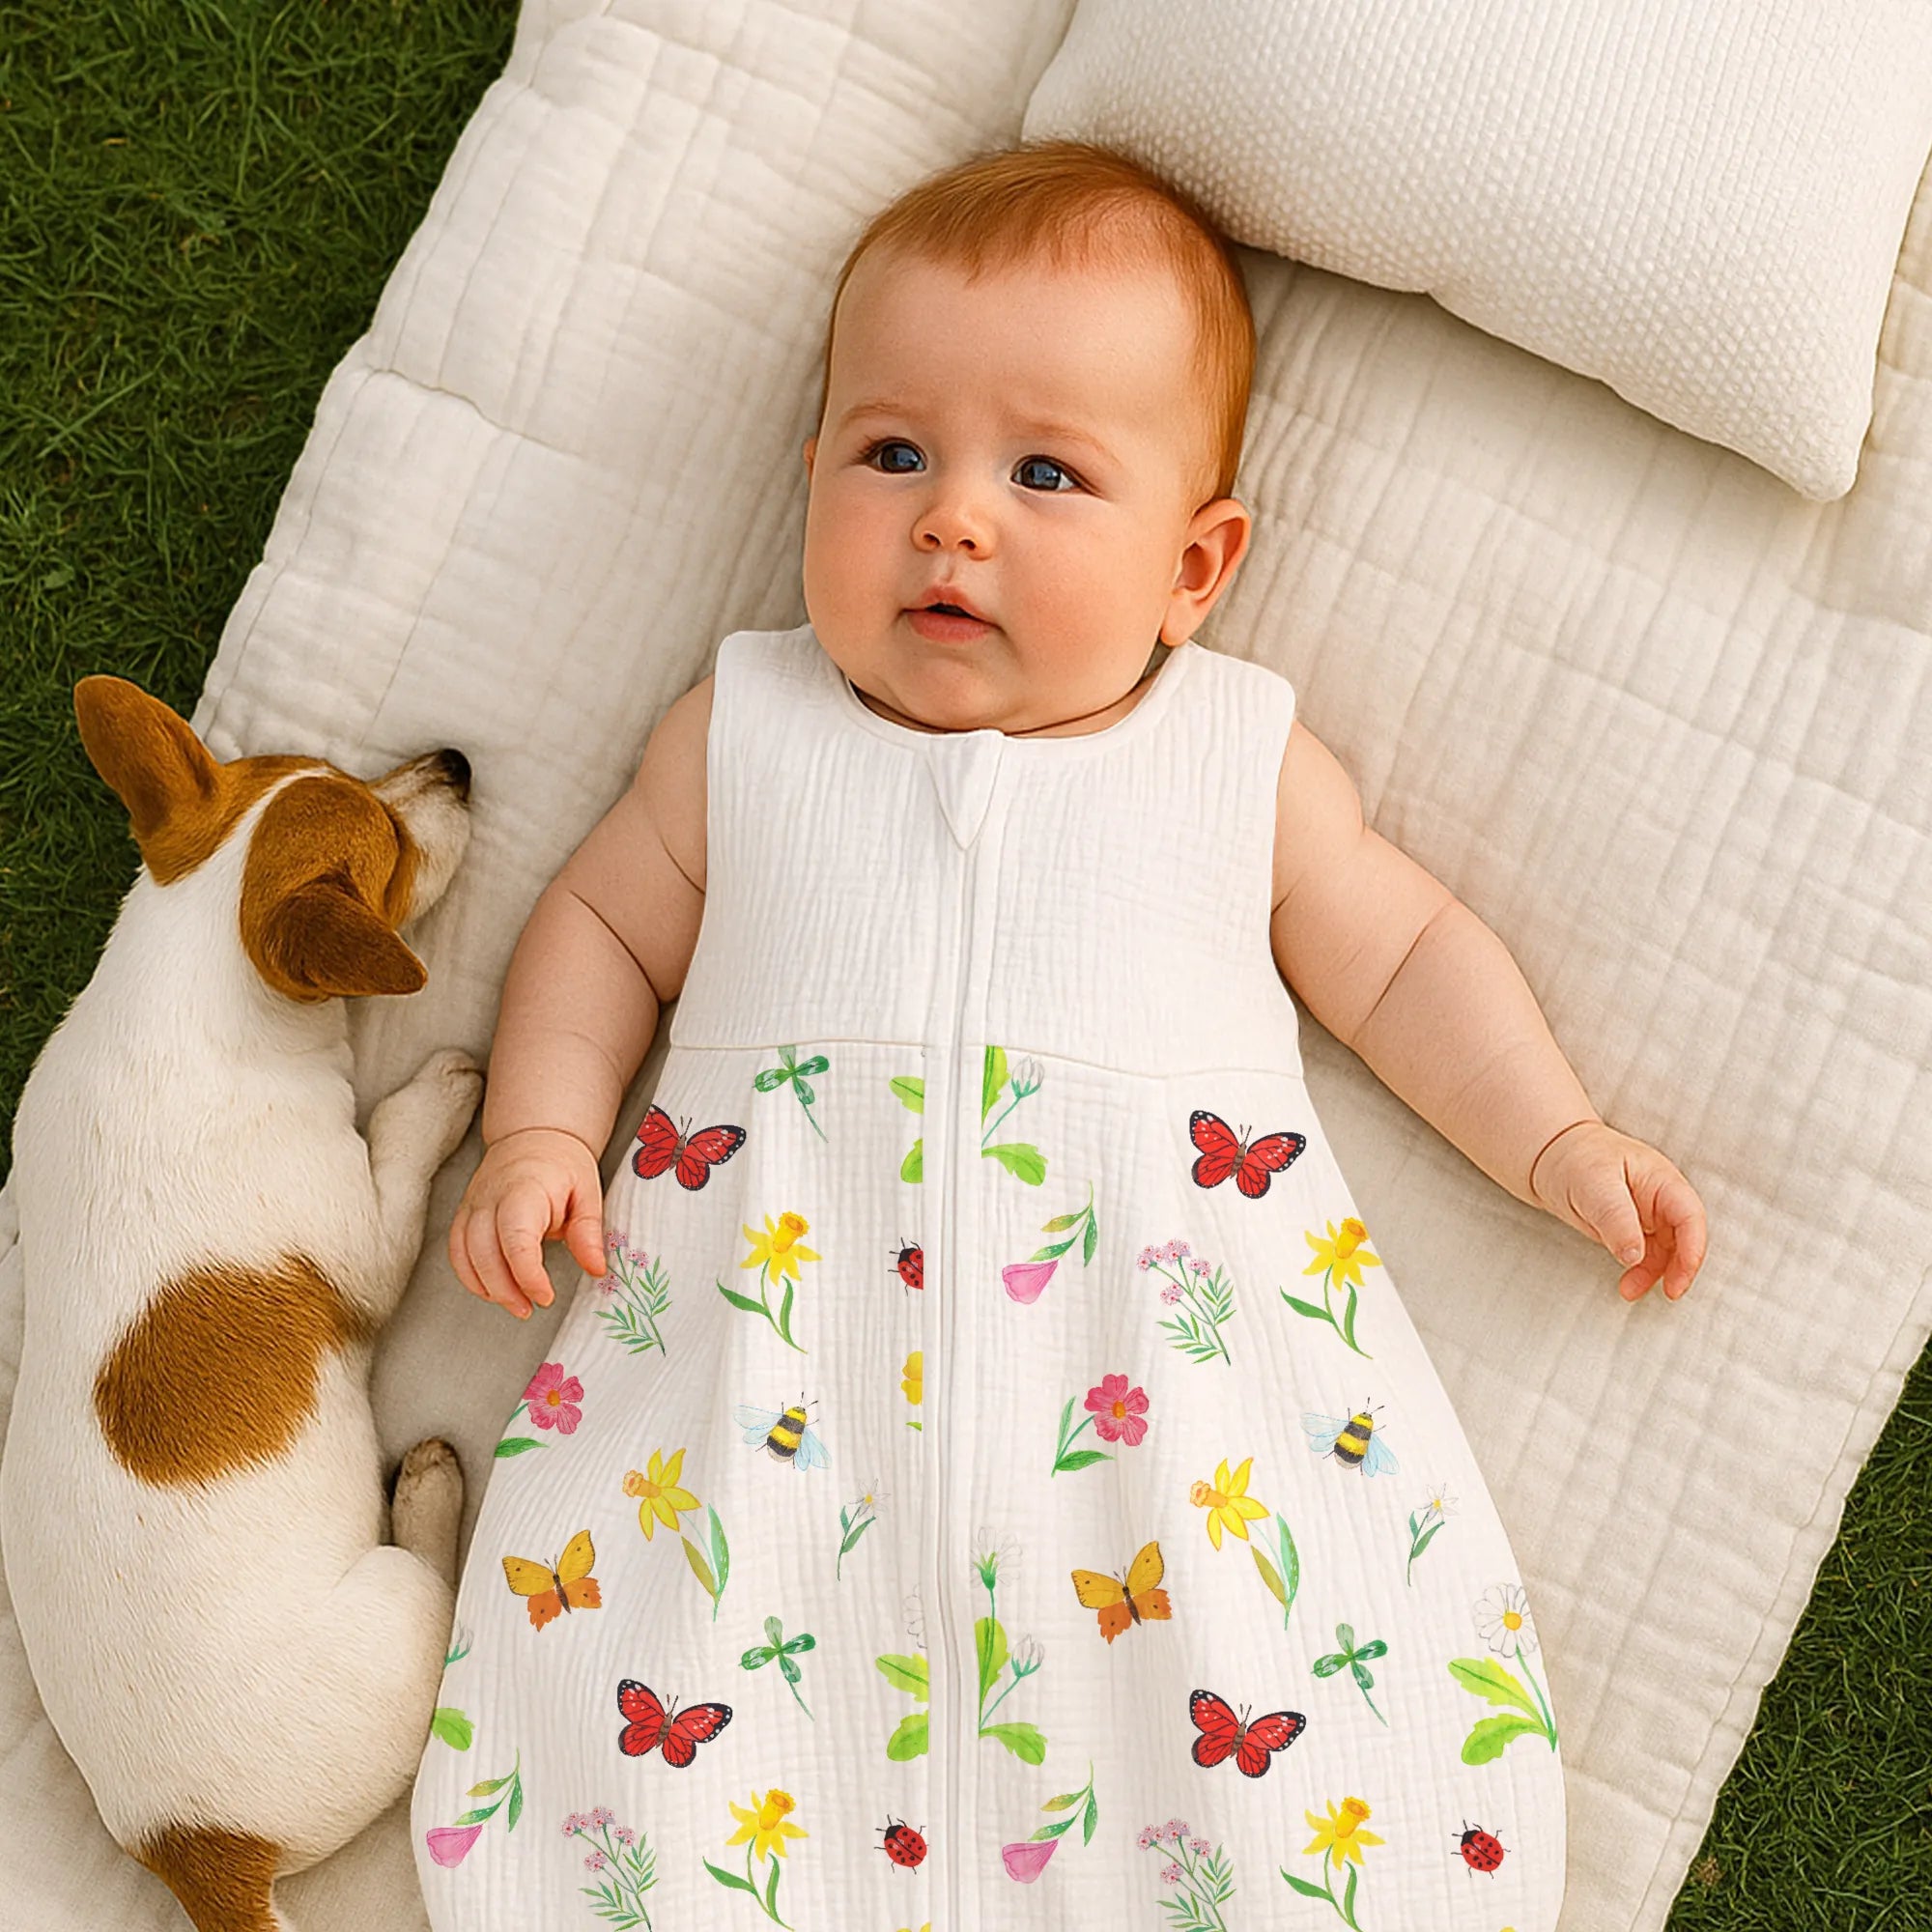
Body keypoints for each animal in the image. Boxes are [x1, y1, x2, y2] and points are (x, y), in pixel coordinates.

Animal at [0, 675, 485, 1932]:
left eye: (356, 776)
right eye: (392, 845)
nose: (458, 762)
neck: (187, 986)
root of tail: (201, 1853)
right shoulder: (366, 1232)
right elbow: (400, 1143)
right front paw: (439, 1092)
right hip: (397, 1622)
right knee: (434, 1585)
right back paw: (429, 1490)